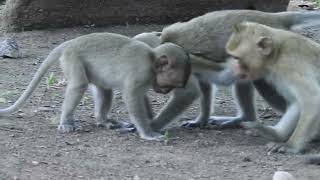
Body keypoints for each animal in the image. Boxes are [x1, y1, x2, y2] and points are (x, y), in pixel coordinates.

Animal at [0, 32, 190, 141]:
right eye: (173, 84)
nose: (165, 91)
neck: (152, 60)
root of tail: (70, 43)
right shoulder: (140, 74)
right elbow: (132, 97)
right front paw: (147, 132)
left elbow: (141, 97)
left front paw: (151, 122)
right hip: (72, 58)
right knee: (79, 84)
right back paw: (67, 121)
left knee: (105, 90)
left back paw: (103, 120)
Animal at [148, 9, 320, 132]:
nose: (159, 90)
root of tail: (275, 18)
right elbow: (205, 85)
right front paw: (201, 120)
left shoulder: (181, 65)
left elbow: (187, 93)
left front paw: (152, 126)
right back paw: (245, 118)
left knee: (263, 82)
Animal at [222, 21, 320, 153]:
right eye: (231, 56)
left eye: (236, 58)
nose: (232, 69)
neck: (276, 55)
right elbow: (296, 103)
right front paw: (277, 135)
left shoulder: (290, 66)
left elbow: (313, 100)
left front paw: (291, 145)